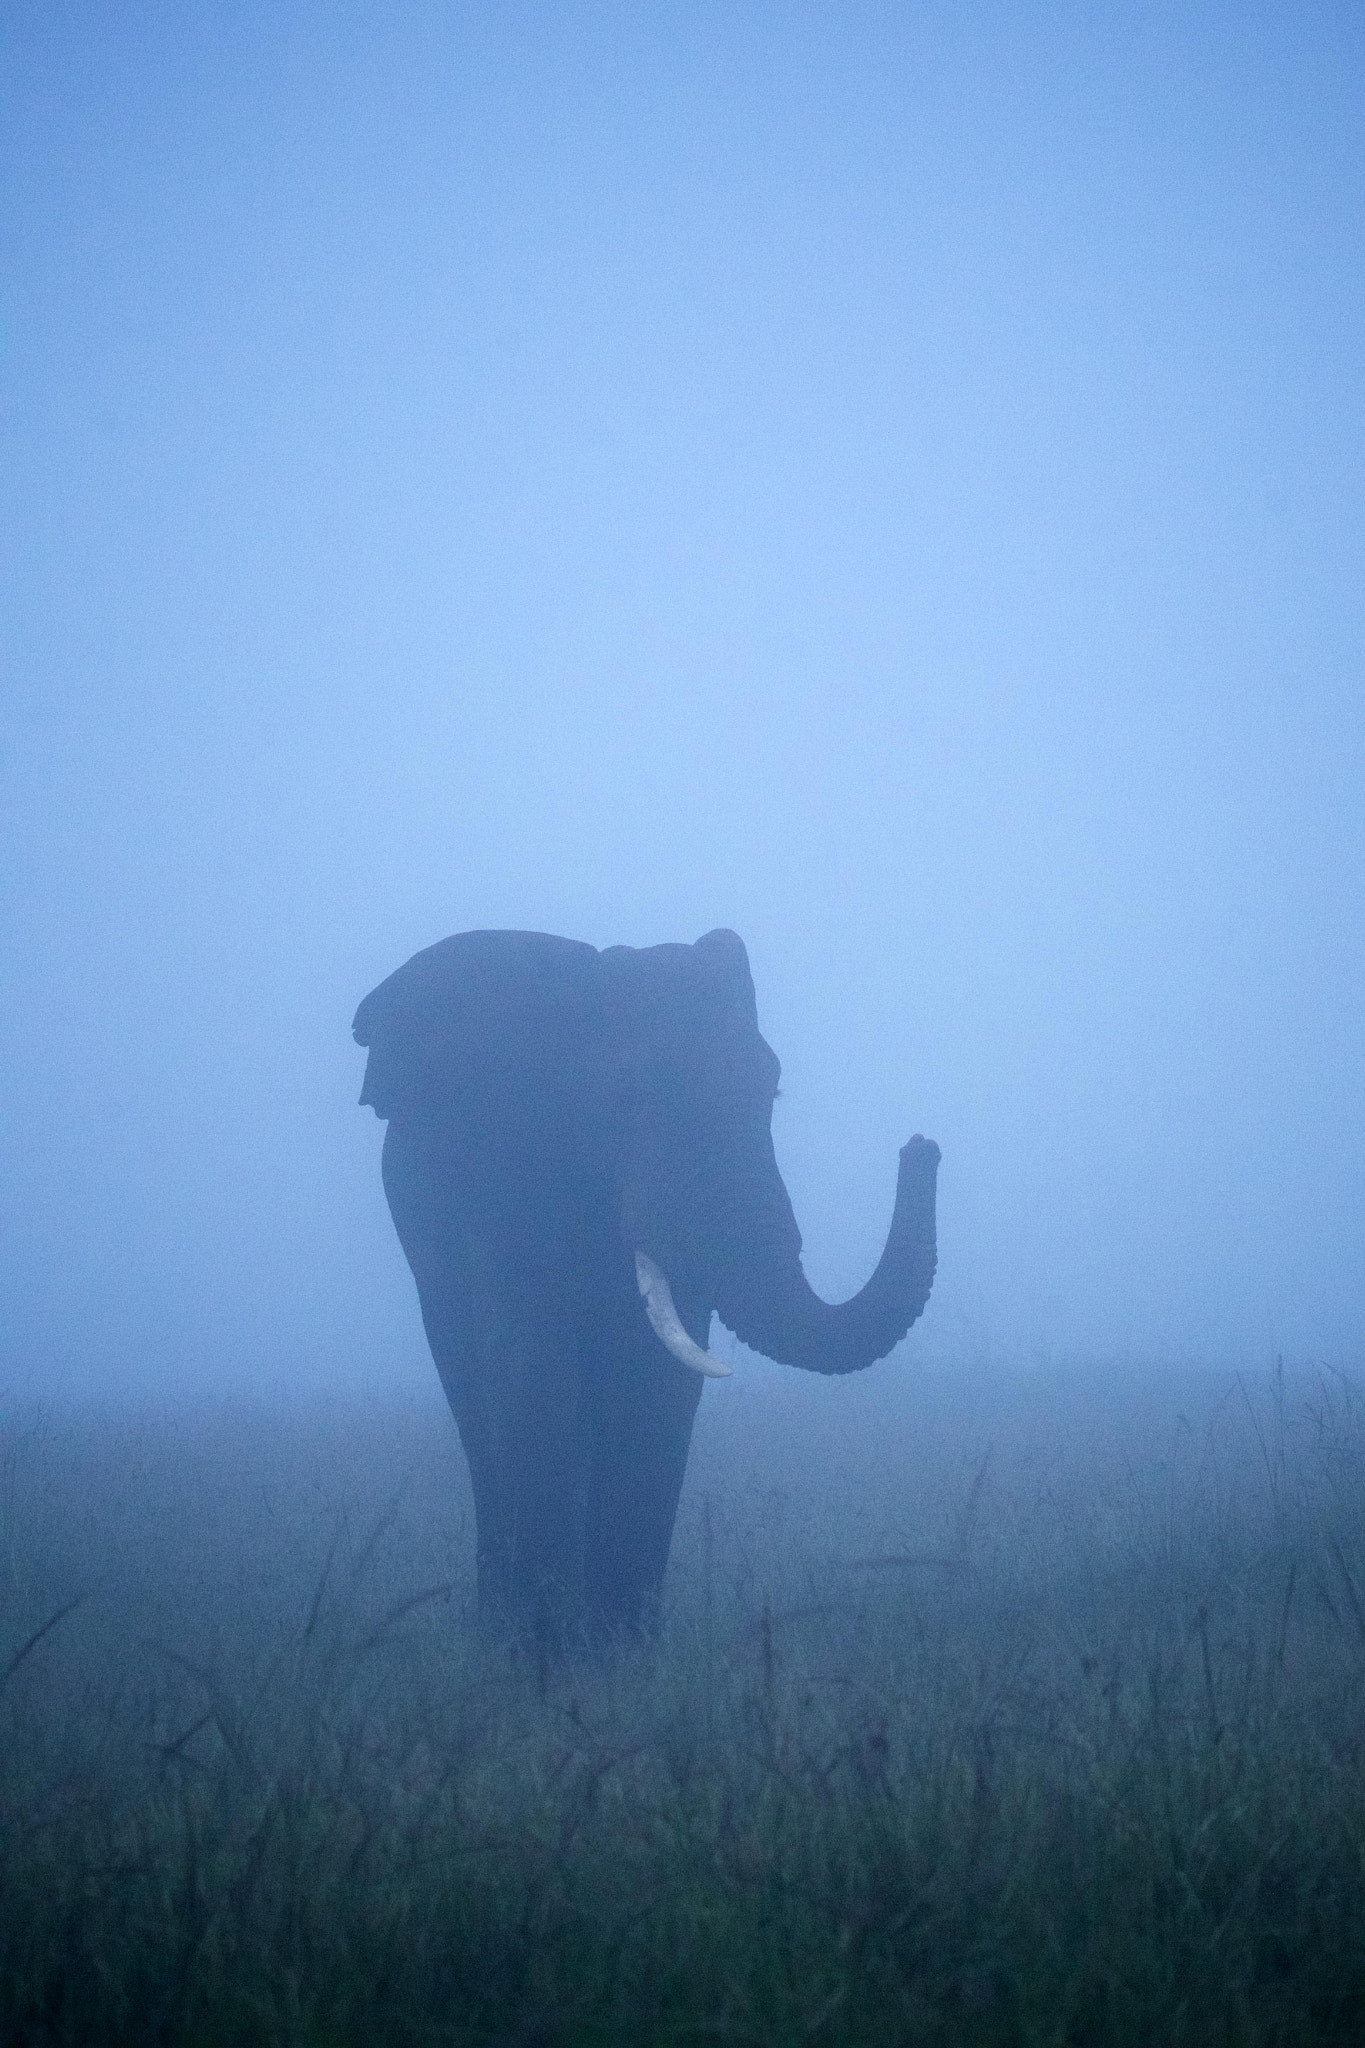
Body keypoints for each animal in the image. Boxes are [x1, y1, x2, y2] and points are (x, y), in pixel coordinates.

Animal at [353, 928, 939, 1644]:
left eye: (770, 1094)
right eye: (629, 1099)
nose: (922, 1146)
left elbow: (660, 1385)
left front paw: (617, 1650)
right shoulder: (500, 1183)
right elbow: (535, 1377)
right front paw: (548, 1649)